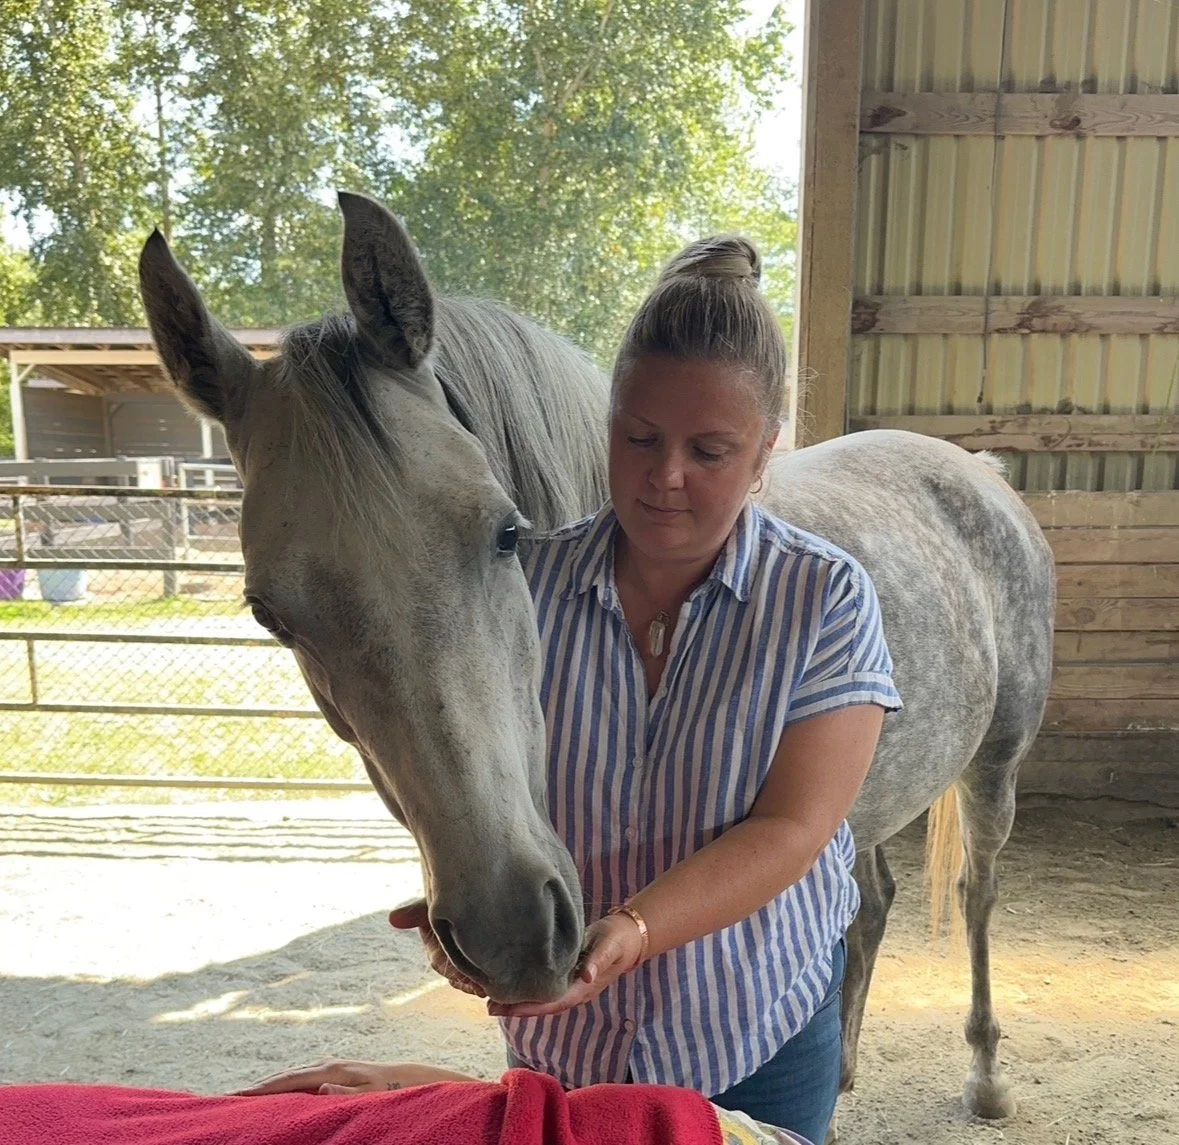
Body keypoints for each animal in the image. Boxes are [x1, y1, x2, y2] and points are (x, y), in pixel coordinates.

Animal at [138, 191, 1055, 1125]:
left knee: (975, 892)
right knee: (868, 907)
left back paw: (985, 1072)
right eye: (271, 613)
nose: (511, 928)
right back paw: (840, 1069)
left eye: (506, 533)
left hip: (992, 764)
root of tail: (975, 467)